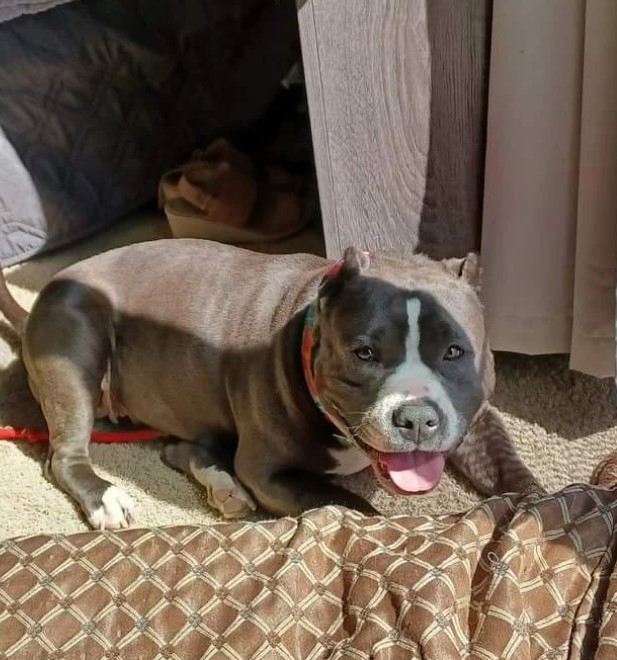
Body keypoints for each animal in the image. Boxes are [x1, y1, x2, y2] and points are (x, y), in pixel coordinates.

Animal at [0, 240, 540, 528]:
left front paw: (538, 512)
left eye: (454, 351)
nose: (418, 419)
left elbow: (510, 468)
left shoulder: (476, 418)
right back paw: (107, 498)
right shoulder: (268, 474)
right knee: (64, 457)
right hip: (74, 348)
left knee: (181, 449)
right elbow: (355, 507)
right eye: (364, 352)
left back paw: (222, 486)